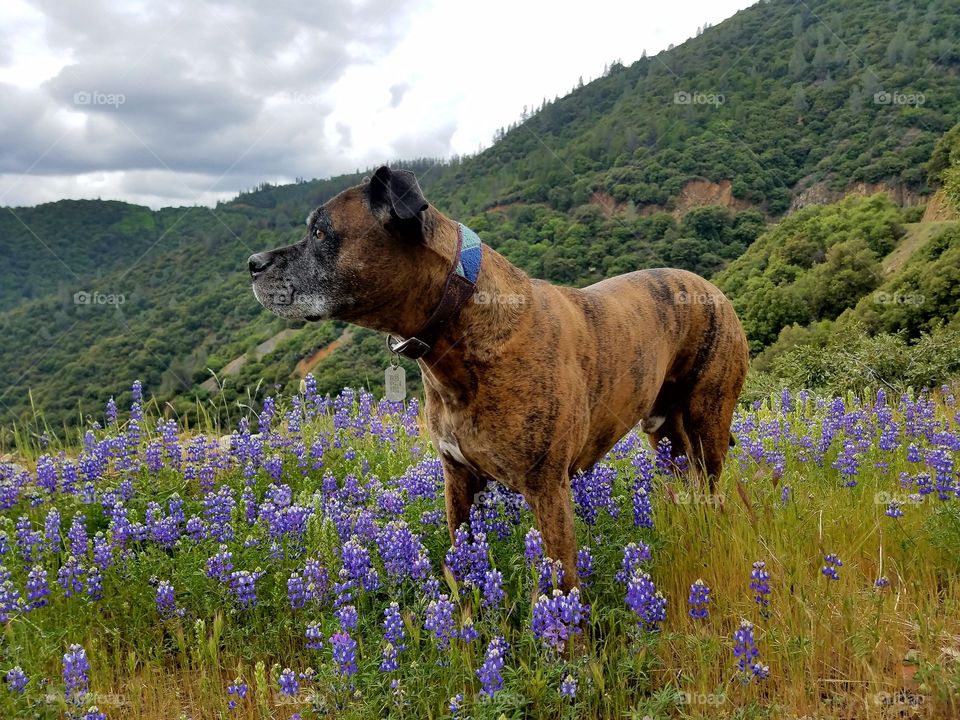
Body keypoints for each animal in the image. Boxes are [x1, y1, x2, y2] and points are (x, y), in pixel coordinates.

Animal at [248, 167, 752, 592]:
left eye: (320, 232)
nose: (252, 262)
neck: (456, 321)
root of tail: (711, 287)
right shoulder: (458, 479)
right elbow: (463, 564)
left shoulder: (547, 488)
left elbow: (561, 583)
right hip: (665, 435)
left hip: (707, 423)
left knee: (713, 492)